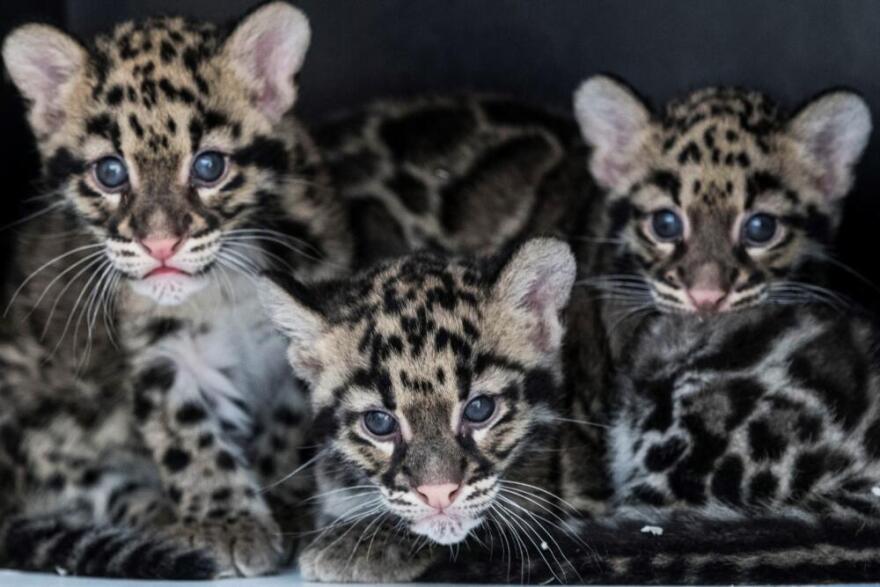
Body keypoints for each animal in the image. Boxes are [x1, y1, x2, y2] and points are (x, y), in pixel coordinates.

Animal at [0, 2, 350, 578]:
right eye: (110, 172)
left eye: (209, 166)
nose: (161, 244)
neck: (225, 288)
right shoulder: (163, 351)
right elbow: (188, 434)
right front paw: (225, 521)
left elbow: (288, 425)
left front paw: (281, 499)